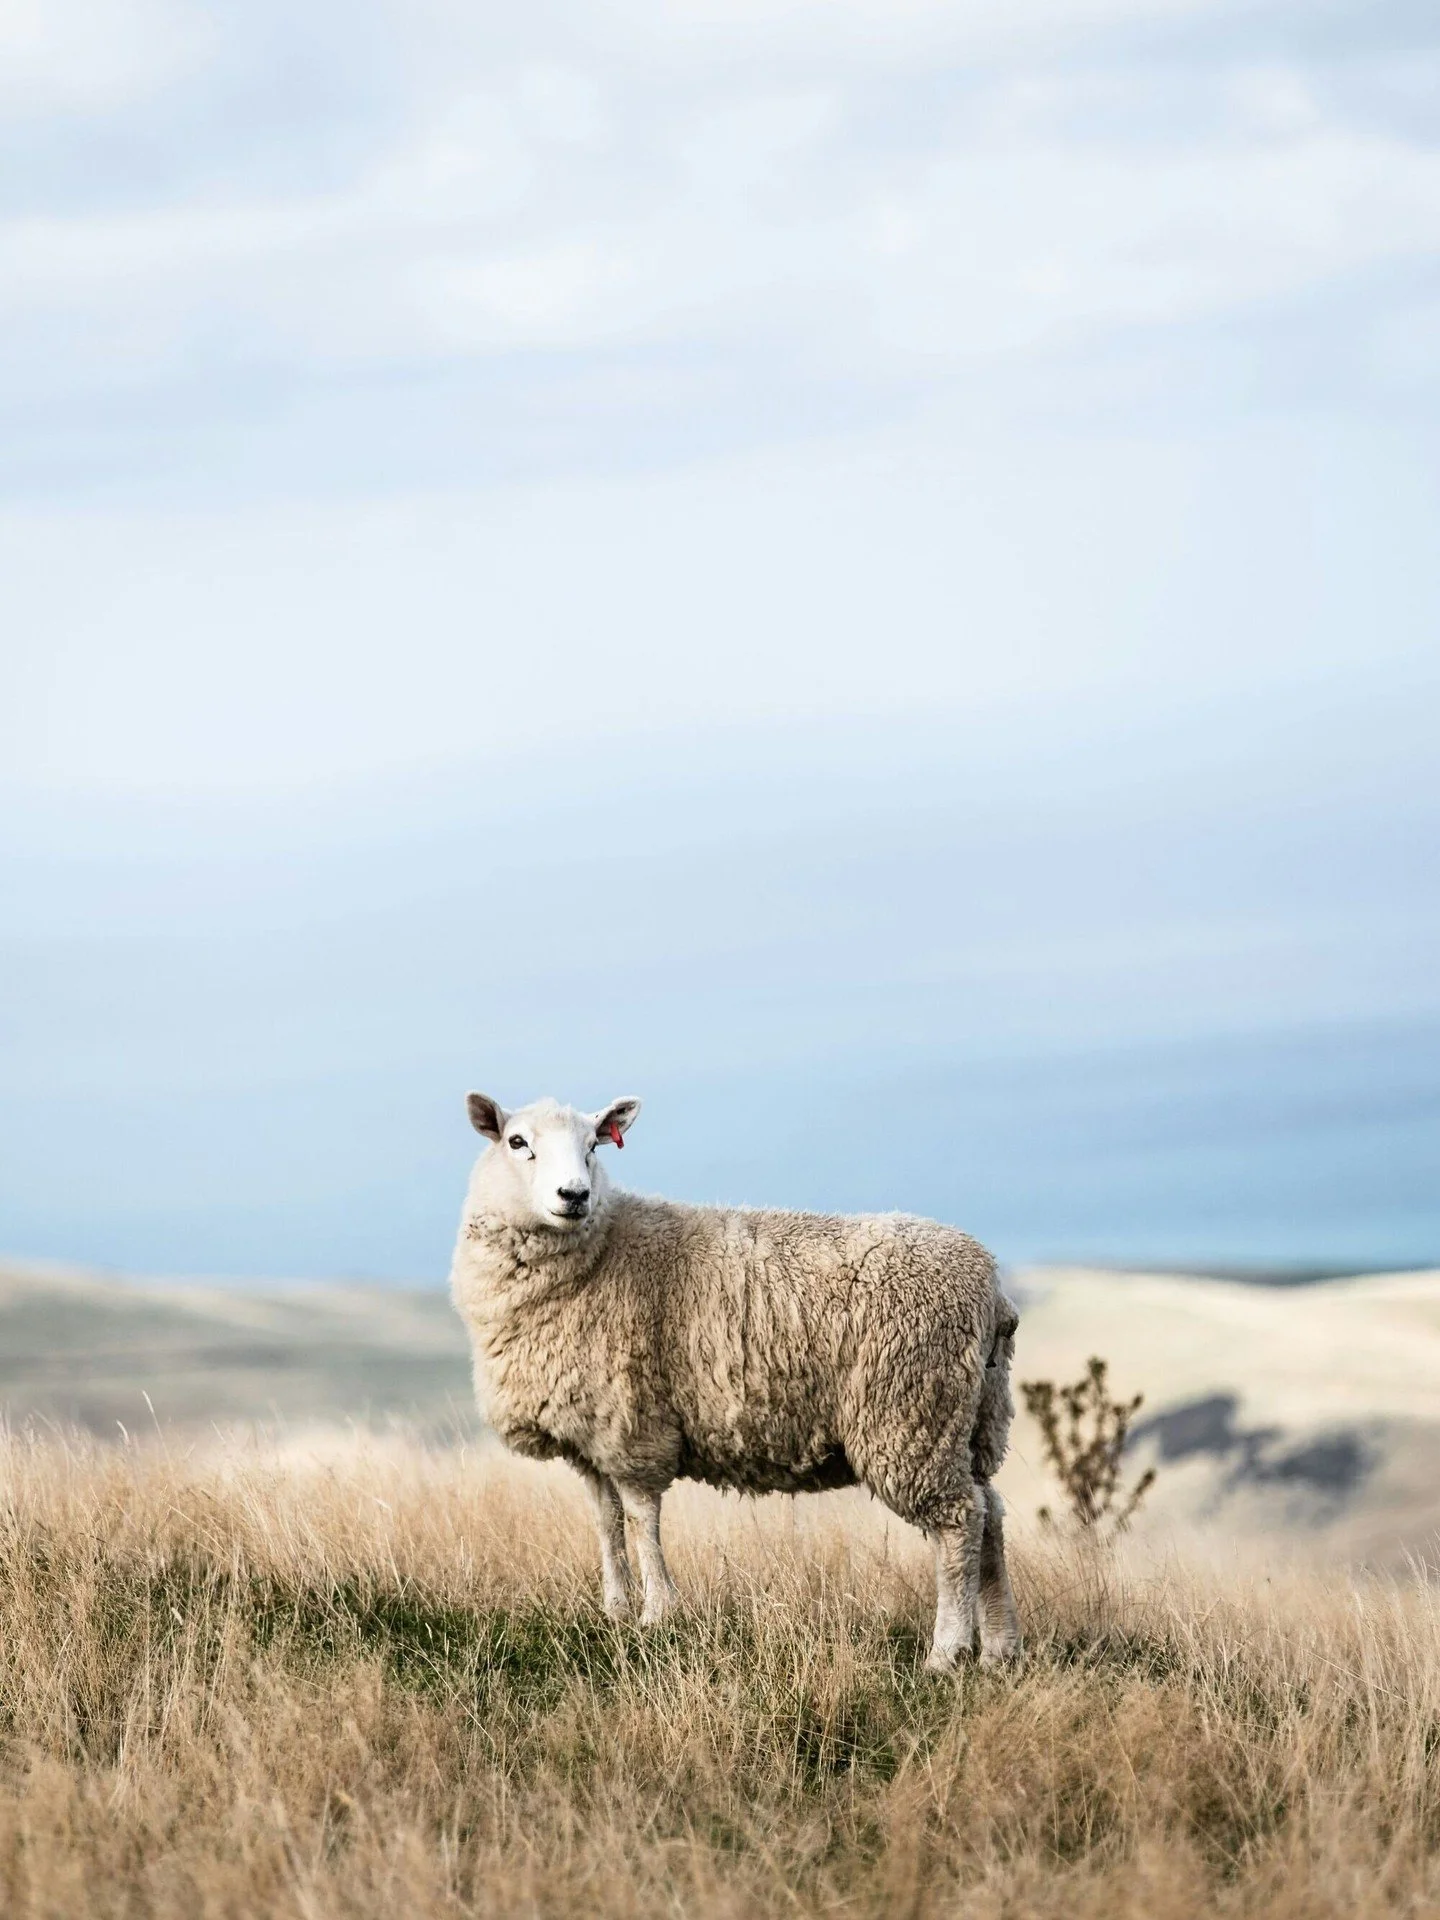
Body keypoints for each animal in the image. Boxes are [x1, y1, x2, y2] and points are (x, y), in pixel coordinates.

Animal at [448, 1090, 1022, 1670]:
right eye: (517, 1142)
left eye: (593, 1146)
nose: (574, 1195)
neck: (602, 1250)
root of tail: (992, 1289)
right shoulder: (591, 1434)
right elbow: (607, 1522)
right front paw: (615, 1611)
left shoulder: (635, 1427)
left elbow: (641, 1519)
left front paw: (657, 1614)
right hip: (971, 1419)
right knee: (990, 1513)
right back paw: (1000, 1647)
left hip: (910, 1414)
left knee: (958, 1522)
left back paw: (947, 1652)